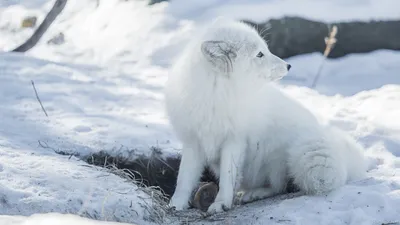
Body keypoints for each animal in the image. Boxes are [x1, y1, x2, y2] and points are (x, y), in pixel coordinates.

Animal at [162, 17, 366, 213]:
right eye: (260, 54)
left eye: (265, 50)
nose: (289, 65)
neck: (216, 95)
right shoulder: (193, 141)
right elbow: (184, 178)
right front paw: (176, 204)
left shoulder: (234, 140)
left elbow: (227, 177)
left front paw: (221, 203)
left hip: (276, 158)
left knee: (279, 187)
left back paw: (255, 194)